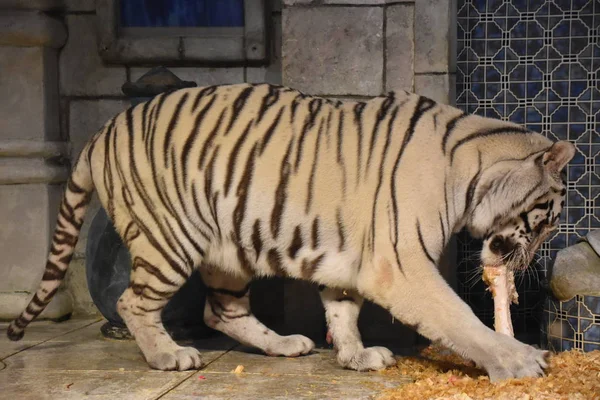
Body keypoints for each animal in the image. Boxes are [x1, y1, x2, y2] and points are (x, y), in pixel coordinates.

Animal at [7, 83, 576, 382]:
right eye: (546, 218)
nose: (529, 262)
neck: (471, 171)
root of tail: (100, 132)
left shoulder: (353, 260)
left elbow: (343, 312)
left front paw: (355, 356)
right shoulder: (401, 265)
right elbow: (459, 317)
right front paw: (518, 360)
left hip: (229, 251)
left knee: (222, 311)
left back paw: (284, 345)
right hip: (169, 239)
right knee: (133, 303)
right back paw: (168, 355)